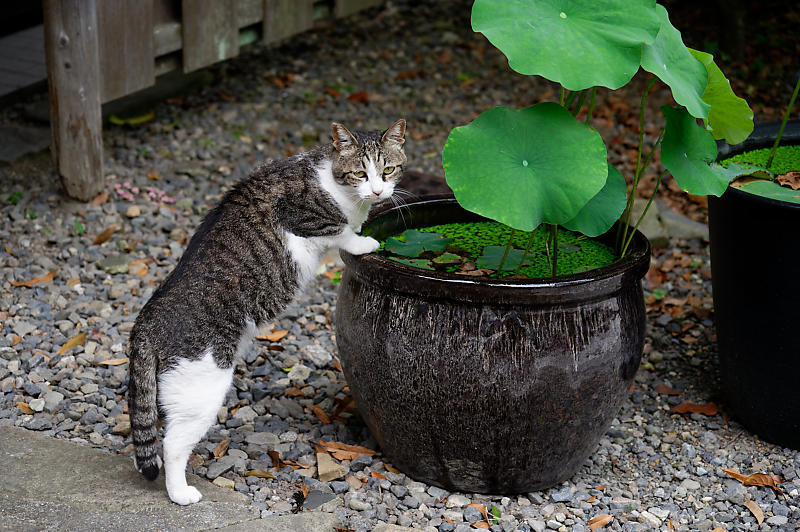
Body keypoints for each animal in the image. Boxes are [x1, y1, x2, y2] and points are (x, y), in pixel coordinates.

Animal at [130, 119, 406, 502]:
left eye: (388, 170)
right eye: (361, 174)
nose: (378, 192)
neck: (335, 185)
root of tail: (147, 318)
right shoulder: (307, 220)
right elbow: (342, 232)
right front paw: (364, 241)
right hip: (201, 388)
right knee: (171, 445)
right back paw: (181, 493)